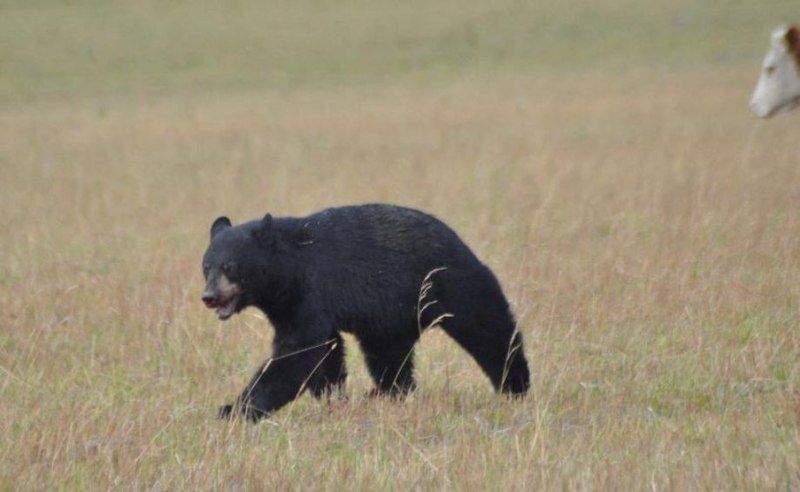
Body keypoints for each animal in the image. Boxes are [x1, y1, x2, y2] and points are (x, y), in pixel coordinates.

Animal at [200, 202, 528, 420]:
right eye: (206, 267)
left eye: (230, 266)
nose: (209, 297)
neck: (288, 270)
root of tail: (460, 242)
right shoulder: (286, 304)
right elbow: (325, 351)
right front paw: (333, 397)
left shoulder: (311, 291)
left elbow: (299, 351)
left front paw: (234, 409)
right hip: (391, 317)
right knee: (389, 357)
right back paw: (392, 393)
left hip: (451, 283)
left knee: (488, 329)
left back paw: (516, 385)